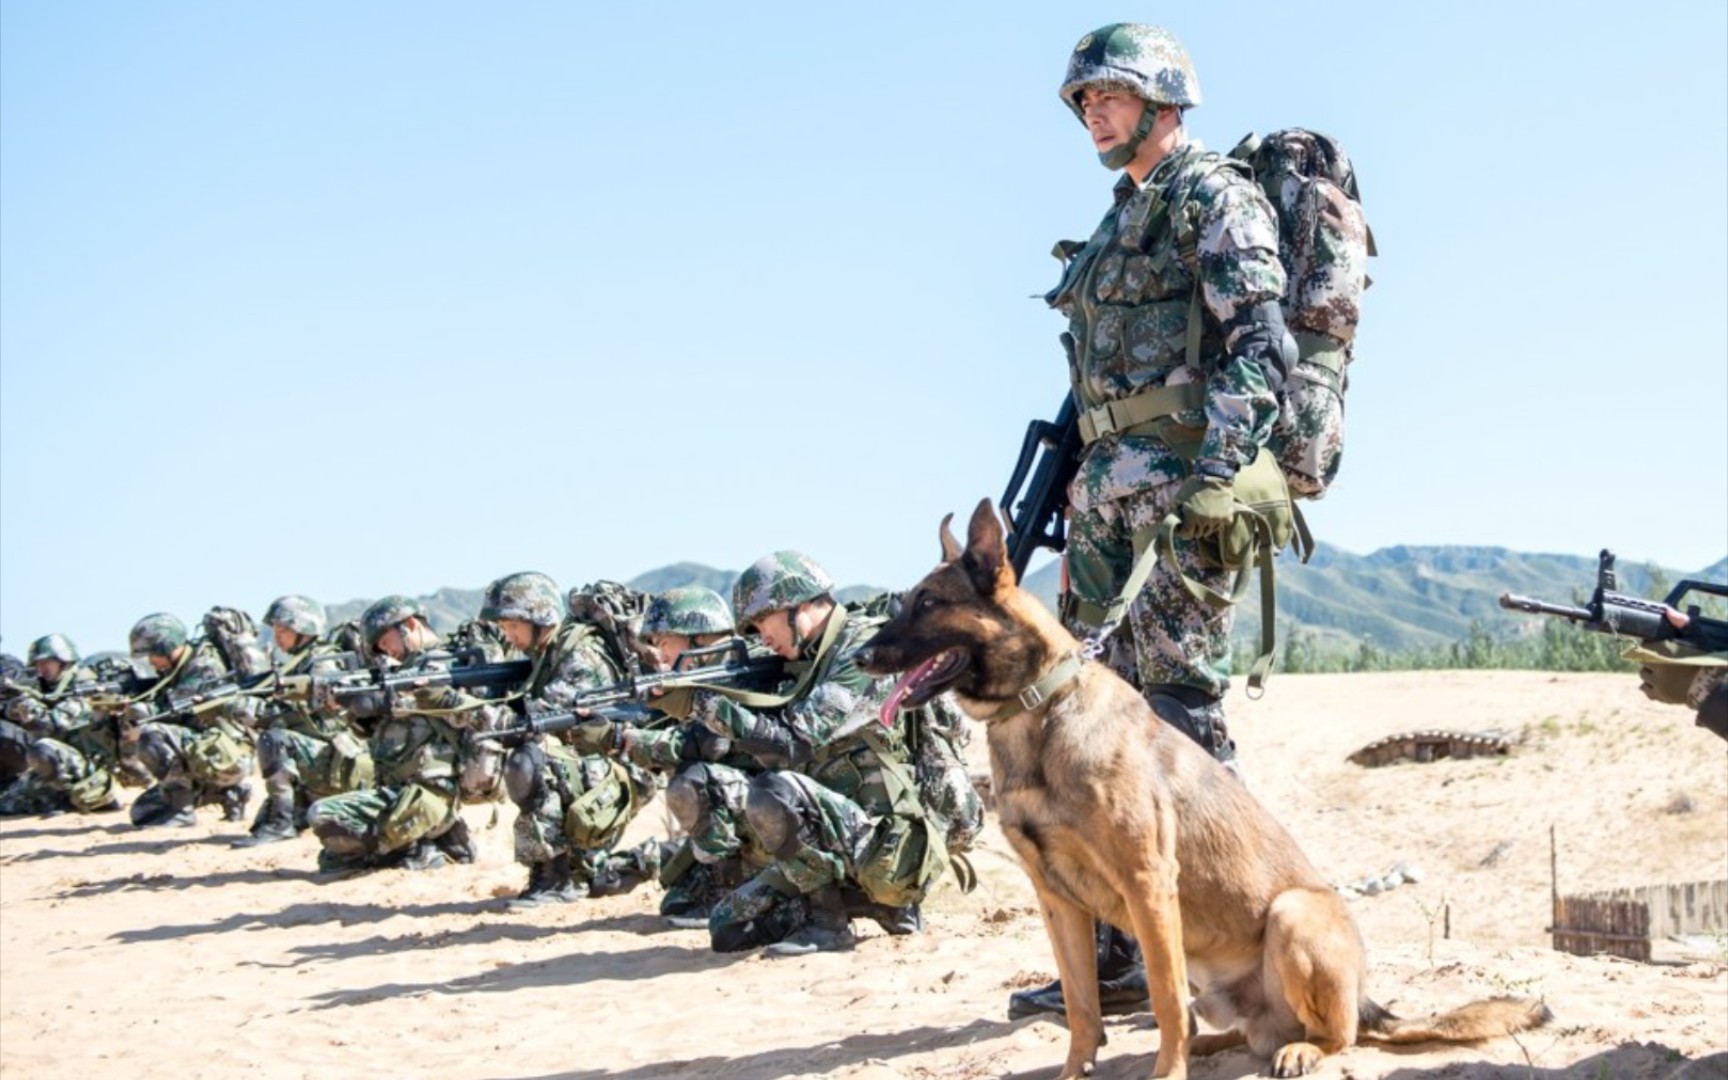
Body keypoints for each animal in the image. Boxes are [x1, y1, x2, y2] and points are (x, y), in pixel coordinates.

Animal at [860, 501, 1555, 1071]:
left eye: (928, 603)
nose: (862, 657)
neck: (1040, 709)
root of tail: (1367, 998)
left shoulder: (1147, 883)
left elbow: (1165, 1002)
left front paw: (1166, 1073)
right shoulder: (1057, 901)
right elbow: (1083, 1010)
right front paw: (1076, 1071)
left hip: (1292, 915)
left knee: (1339, 1036)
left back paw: (1300, 1050)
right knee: (1248, 1033)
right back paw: (1220, 1044)